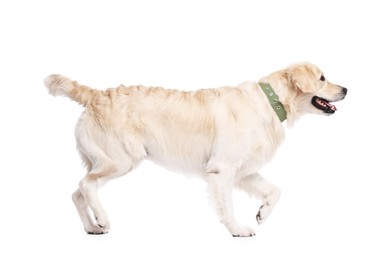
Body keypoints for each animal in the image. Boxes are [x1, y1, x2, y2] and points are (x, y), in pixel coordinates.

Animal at [44, 62, 348, 236]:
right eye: (322, 78)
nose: (345, 89)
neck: (270, 101)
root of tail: (95, 94)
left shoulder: (243, 171)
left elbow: (275, 190)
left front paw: (262, 212)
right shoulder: (222, 169)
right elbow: (227, 206)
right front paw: (237, 230)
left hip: (104, 161)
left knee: (77, 192)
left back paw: (91, 227)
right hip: (121, 159)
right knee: (85, 185)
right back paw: (103, 220)